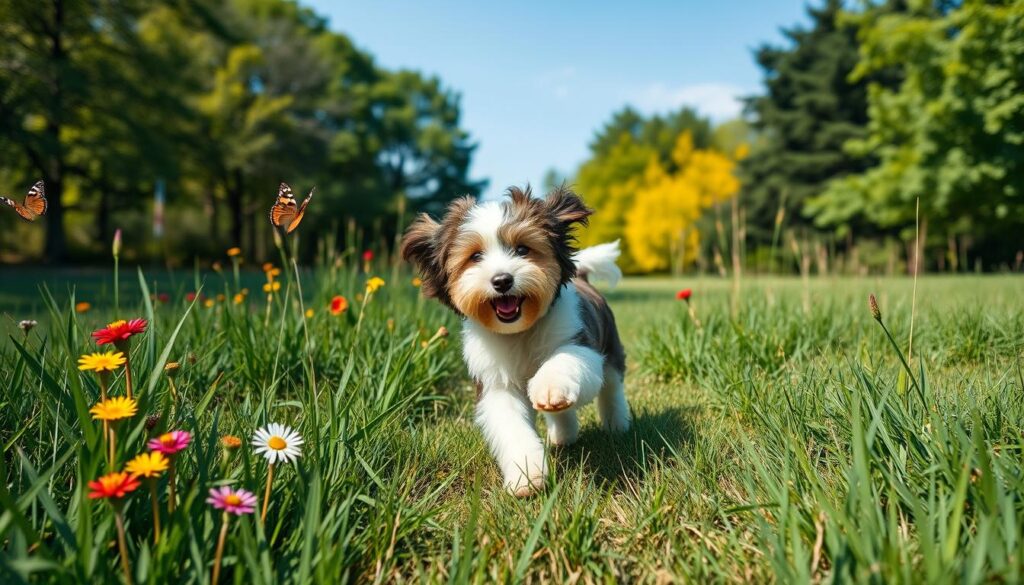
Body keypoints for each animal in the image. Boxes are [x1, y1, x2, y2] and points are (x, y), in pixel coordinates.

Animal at [401, 185, 630, 495]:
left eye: (522, 249)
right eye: (475, 256)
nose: (502, 281)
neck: (520, 332)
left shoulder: (579, 341)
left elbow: (565, 361)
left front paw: (550, 385)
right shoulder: (496, 382)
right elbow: (511, 426)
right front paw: (527, 477)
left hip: (611, 347)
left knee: (611, 386)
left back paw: (616, 424)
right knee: (562, 413)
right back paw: (562, 434)